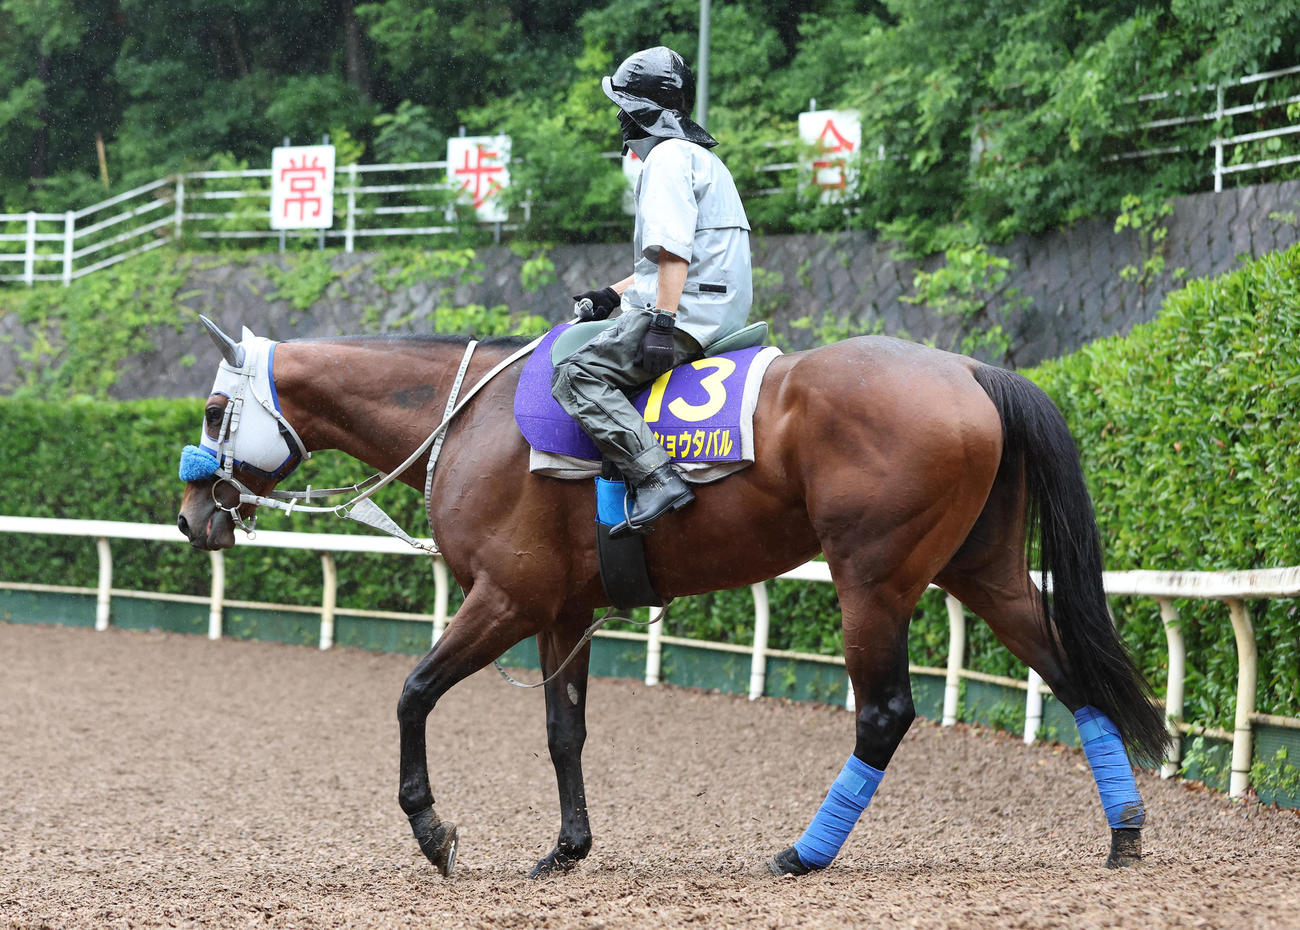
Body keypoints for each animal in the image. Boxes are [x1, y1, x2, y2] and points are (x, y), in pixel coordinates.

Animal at [175, 317, 1169, 879]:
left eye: (216, 412)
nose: (192, 517)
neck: (471, 420)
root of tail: (966, 371)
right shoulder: (563, 613)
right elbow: (563, 732)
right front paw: (567, 850)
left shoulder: (504, 600)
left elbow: (413, 694)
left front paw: (431, 830)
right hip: (984, 571)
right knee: (1074, 676)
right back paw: (1124, 832)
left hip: (872, 580)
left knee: (885, 712)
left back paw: (806, 852)